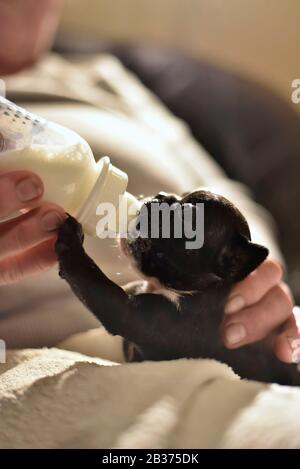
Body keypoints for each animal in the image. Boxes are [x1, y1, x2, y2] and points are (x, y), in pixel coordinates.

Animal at [55, 190, 300, 384]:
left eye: (184, 219)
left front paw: (71, 242)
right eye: (176, 196)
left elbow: (91, 278)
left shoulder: (133, 314)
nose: (160, 197)